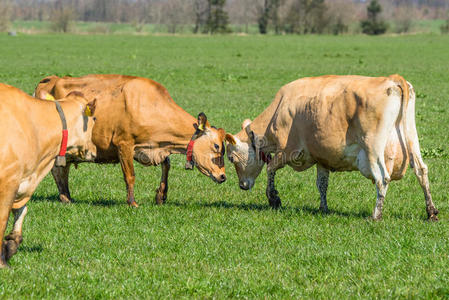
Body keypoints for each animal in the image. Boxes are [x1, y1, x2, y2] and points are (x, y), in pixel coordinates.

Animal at [0, 82, 95, 268]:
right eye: (94, 119)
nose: (94, 150)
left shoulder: (21, 180)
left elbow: (21, 211)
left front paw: (11, 245)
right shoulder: (7, 181)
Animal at [34, 74, 228, 207]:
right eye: (216, 146)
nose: (223, 176)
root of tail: (51, 79)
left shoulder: (155, 147)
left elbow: (166, 166)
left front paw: (161, 196)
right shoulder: (124, 144)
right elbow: (130, 176)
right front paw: (132, 202)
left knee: (61, 168)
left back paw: (66, 197)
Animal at [226, 75, 436, 220]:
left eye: (231, 158)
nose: (242, 185)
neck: (279, 109)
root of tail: (392, 79)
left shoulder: (287, 150)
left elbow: (270, 169)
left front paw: (274, 199)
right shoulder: (321, 157)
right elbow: (322, 184)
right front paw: (323, 208)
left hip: (373, 147)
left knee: (382, 178)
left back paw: (376, 215)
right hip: (412, 137)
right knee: (421, 170)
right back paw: (431, 212)